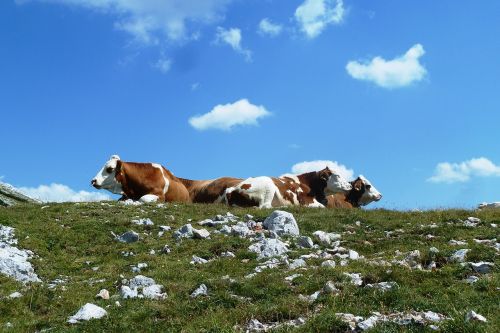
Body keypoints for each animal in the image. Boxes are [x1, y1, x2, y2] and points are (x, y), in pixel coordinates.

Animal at [223, 166, 352, 208]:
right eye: (337, 175)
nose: (350, 185)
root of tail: (233, 188)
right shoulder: (307, 201)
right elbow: (322, 207)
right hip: (268, 186)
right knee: (265, 206)